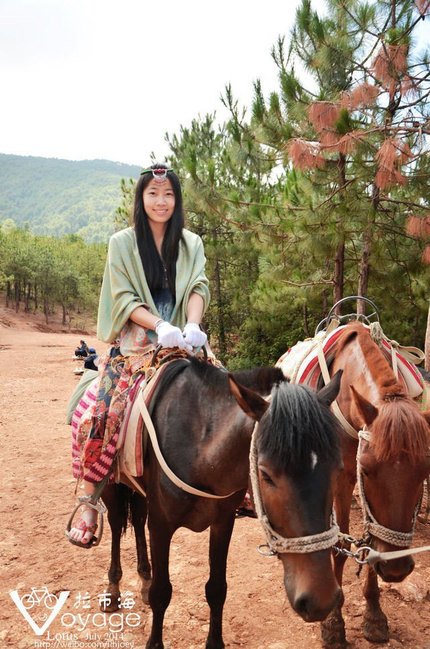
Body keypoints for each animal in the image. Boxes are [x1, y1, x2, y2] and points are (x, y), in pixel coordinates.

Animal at [100, 356, 342, 644]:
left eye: (336, 468)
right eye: (265, 474)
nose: (320, 600)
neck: (199, 449)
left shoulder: (223, 522)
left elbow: (217, 589)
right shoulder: (160, 525)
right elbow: (162, 593)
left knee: (136, 520)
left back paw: (144, 579)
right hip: (111, 486)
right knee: (116, 525)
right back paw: (113, 588)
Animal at [316, 322, 430, 644]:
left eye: (425, 472)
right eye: (365, 470)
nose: (395, 569)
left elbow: (369, 543)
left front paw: (375, 615)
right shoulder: (340, 477)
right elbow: (339, 543)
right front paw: (333, 622)